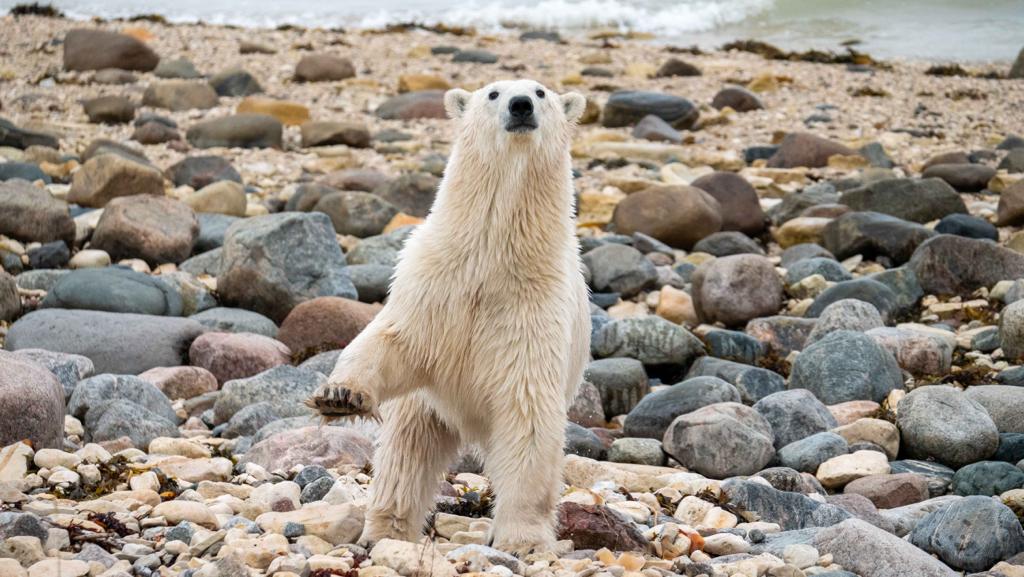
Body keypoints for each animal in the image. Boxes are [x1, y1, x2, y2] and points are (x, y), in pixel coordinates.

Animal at [308, 79, 590, 555]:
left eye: (540, 92)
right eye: (493, 93)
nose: (521, 105)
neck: (490, 256)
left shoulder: (534, 308)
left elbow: (528, 416)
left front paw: (523, 540)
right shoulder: (434, 283)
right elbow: (394, 341)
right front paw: (340, 394)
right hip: (426, 406)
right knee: (407, 452)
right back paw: (387, 529)